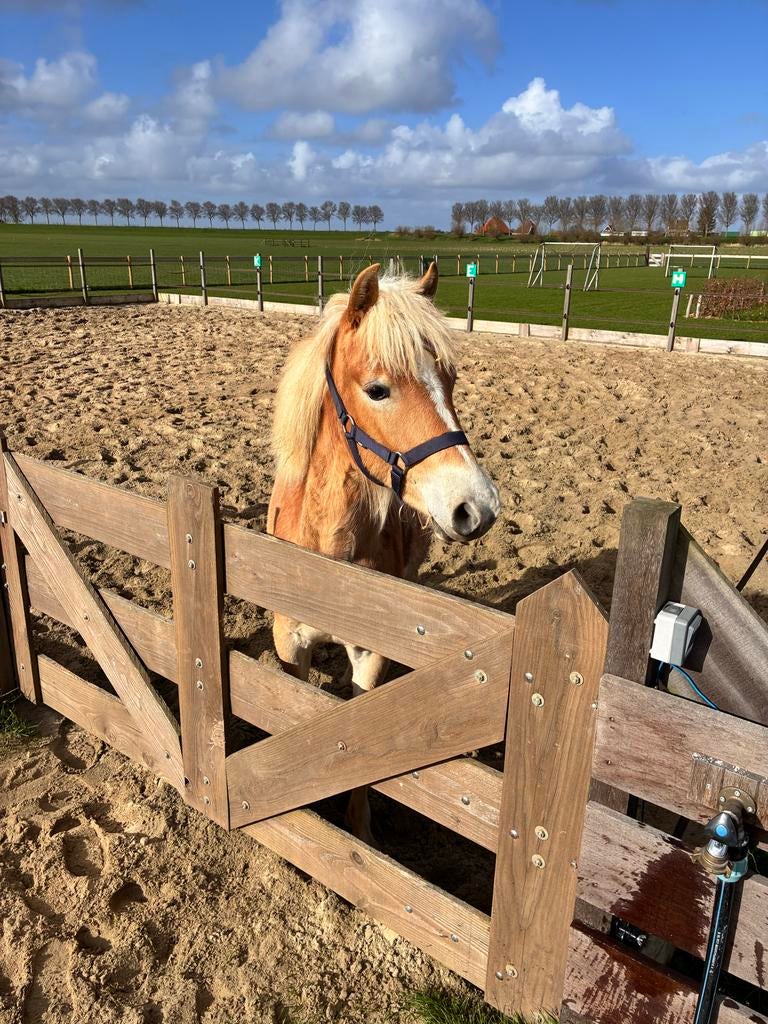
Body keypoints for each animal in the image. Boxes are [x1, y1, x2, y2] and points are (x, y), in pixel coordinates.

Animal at [266, 261, 500, 841]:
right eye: (377, 389)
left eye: (451, 380)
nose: (478, 506)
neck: (328, 558)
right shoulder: (289, 645)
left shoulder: (370, 656)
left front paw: (359, 833)